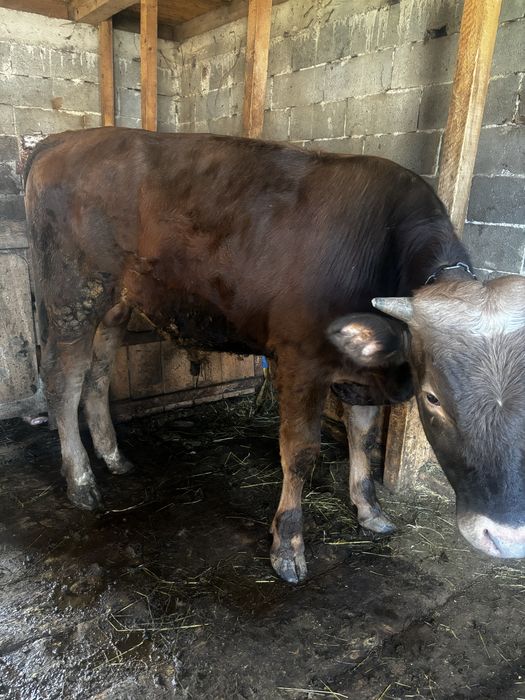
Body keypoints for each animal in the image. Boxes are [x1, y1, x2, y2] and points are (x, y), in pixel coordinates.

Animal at [24, 127, 525, 583]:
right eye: (433, 397)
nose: (503, 537)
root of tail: (63, 140)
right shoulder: (301, 361)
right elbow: (300, 453)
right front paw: (288, 545)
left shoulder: (361, 372)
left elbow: (362, 438)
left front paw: (368, 509)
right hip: (71, 294)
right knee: (64, 377)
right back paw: (82, 482)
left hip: (115, 305)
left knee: (99, 372)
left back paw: (112, 456)